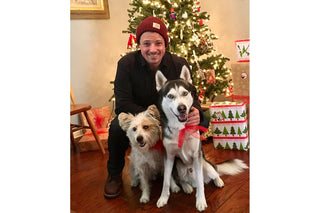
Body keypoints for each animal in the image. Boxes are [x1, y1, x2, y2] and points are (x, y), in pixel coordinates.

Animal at [155, 66, 248, 211]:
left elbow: (200, 183)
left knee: (214, 173)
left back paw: (218, 181)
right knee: (182, 180)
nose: (182, 108)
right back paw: (186, 187)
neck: (181, 128)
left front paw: (200, 201)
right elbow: (165, 181)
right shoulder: (169, 157)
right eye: (170, 96)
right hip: (178, 167)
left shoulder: (196, 155)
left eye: (185, 93)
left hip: (206, 165)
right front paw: (163, 198)